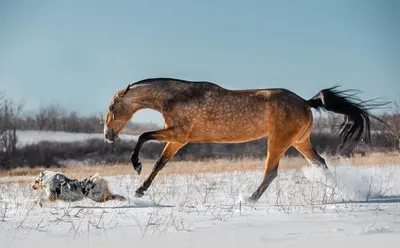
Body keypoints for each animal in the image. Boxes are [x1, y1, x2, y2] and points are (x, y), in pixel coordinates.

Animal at [103, 77, 388, 202]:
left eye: (113, 107)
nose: (107, 135)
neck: (176, 97)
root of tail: (306, 103)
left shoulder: (179, 134)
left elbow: (143, 136)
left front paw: (136, 165)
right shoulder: (178, 139)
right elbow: (160, 164)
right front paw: (140, 190)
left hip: (278, 142)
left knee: (271, 172)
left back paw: (250, 198)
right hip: (300, 142)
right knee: (320, 163)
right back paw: (346, 193)